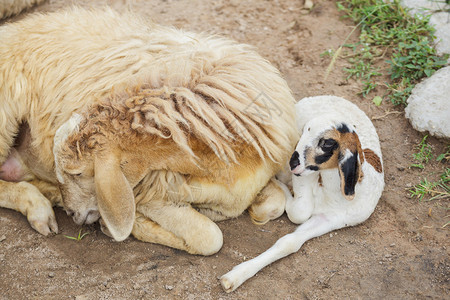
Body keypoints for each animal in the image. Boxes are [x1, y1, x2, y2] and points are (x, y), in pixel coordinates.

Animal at [0, 7, 298, 254]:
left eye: (78, 173)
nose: (73, 214)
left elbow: (275, 203)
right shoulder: (149, 193)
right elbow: (209, 237)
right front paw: (128, 226)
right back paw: (40, 207)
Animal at [220, 96, 384, 292]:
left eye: (327, 142)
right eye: (307, 129)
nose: (293, 161)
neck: (330, 194)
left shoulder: (331, 220)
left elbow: (290, 241)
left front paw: (234, 277)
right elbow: (299, 211)